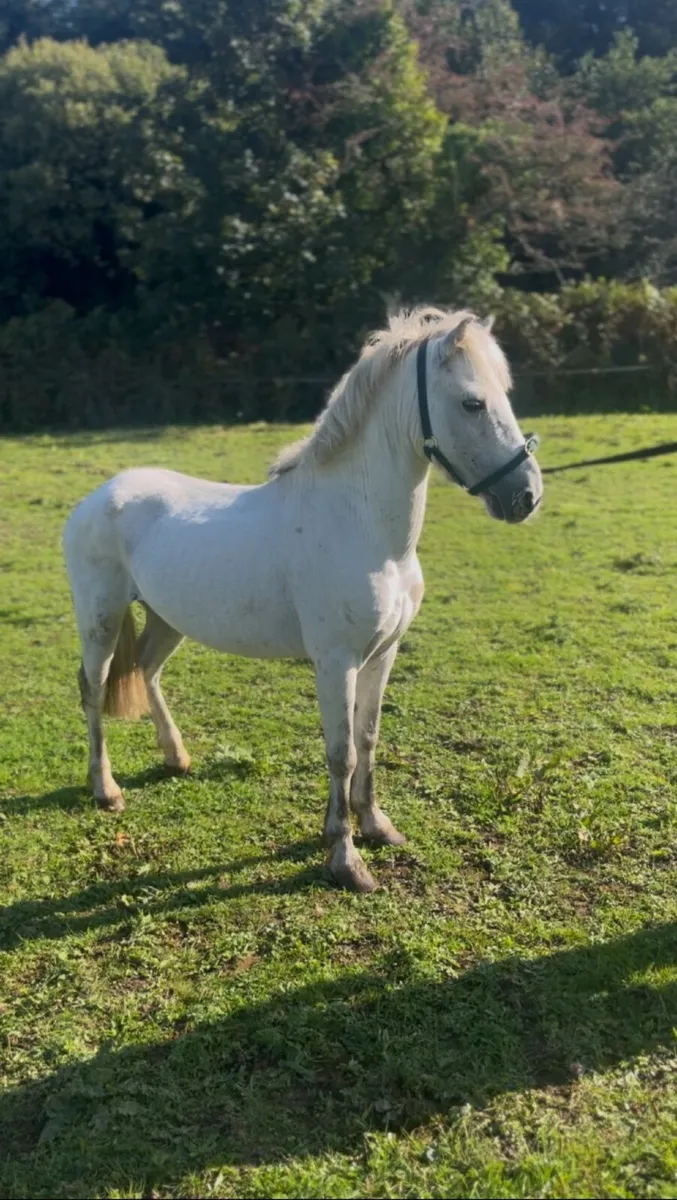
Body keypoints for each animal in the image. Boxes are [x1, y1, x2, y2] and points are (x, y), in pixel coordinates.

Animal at [63, 307, 543, 893]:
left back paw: (177, 757)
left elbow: (368, 738)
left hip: (166, 617)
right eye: (473, 402)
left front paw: (376, 824)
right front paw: (345, 856)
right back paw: (105, 790)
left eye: (505, 392)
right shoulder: (335, 661)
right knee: (93, 689)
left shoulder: (383, 654)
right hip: (101, 617)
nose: (526, 496)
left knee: (148, 670)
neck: (360, 526)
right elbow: (340, 753)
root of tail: (98, 497)